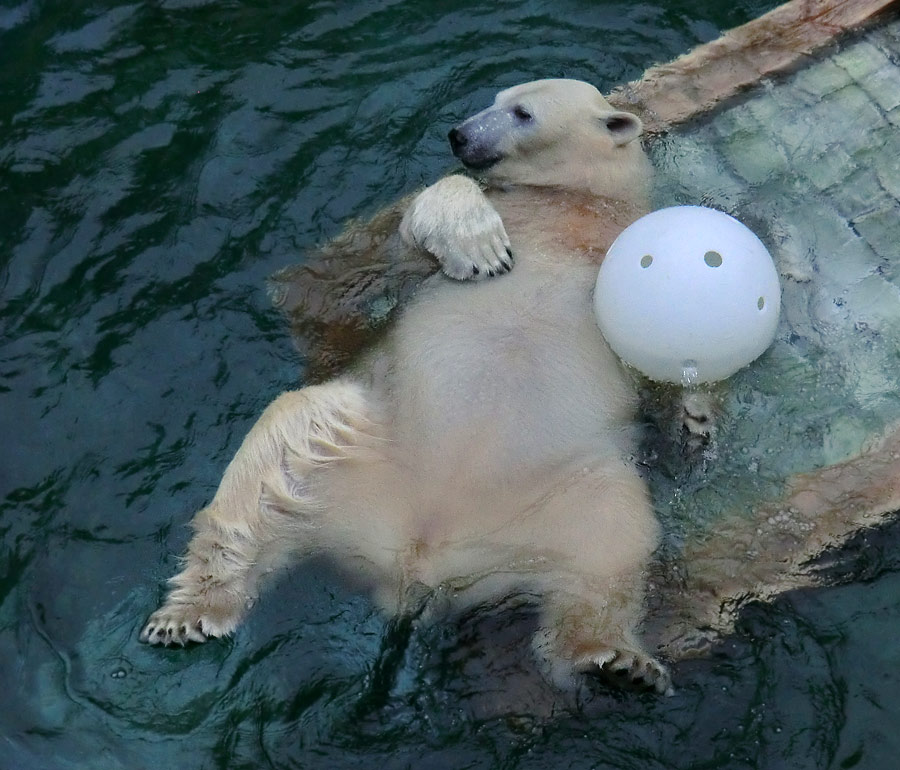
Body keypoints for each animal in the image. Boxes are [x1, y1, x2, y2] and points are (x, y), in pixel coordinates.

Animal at [139, 81, 676, 692]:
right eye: (497, 98)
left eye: (522, 111)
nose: (459, 134)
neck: (572, 207)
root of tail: (420, 558)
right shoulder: (424, 246)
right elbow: (377, 256)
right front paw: (481, 248)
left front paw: (695, 415)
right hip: (359, 439)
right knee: (271, 465)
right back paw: (189, 615)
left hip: (570, 491)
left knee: (611, 542)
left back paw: (614, 660)